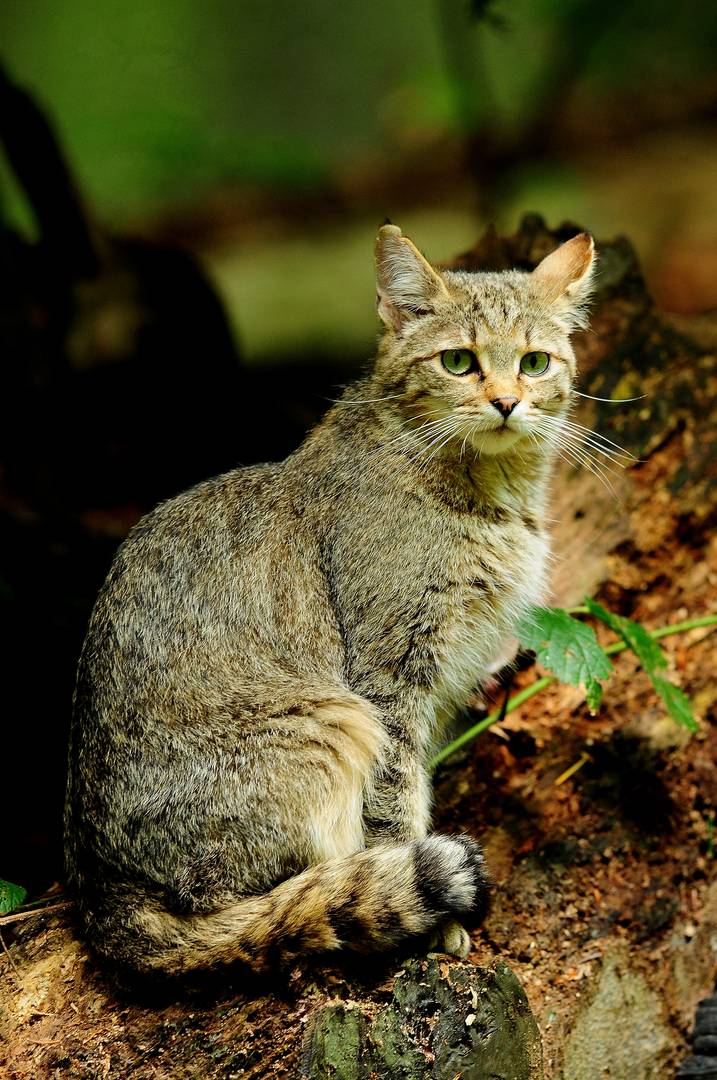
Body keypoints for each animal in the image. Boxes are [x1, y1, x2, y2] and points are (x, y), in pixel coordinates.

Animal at [65, 223, 591, 976]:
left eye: (535, 362)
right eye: (458, 362)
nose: (504, 401)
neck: (491, 494)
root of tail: (101, 894)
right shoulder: (388, 678)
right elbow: (395, 804)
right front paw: (427, 917)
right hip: (330, 723)